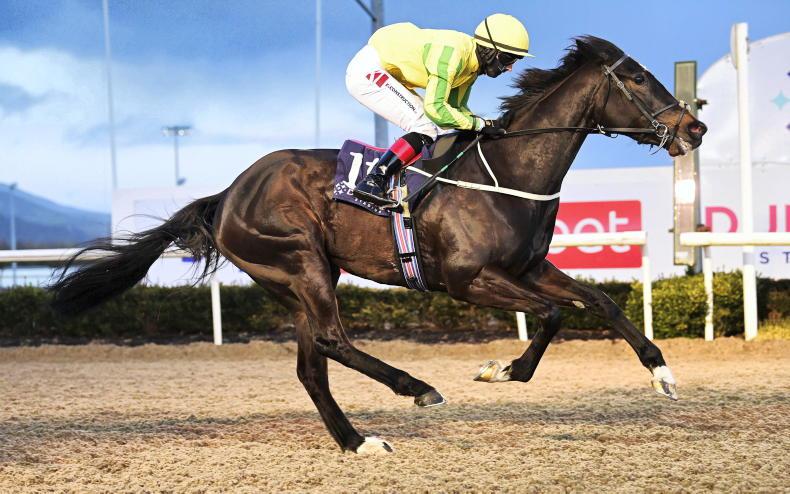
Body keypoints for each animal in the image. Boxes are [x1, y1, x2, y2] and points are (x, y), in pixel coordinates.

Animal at [50, 36, 707, 454]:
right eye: (638, 77)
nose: (695, 126)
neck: (511, 174)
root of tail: (227, 193)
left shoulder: (530, 266)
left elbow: (601, 301)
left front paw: (662, 372)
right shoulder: (469, 279)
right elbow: (551, 315)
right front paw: (501, 369)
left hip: (295, 281)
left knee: (312, 364)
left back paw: (357, 441)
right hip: (302, 263)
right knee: (333, 340)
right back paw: (415, 388)